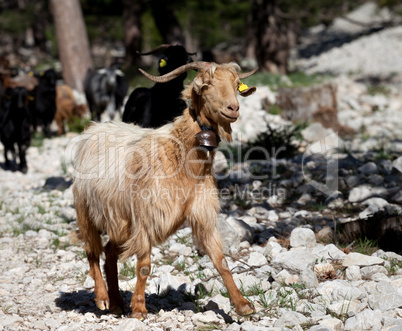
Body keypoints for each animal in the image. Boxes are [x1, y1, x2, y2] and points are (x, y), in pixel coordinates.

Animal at [71, 61, 258, 320]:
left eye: (236, 84)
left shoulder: (202, 213)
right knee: (91, 251)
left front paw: (242, 305)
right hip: (86, 210)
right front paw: (139, 309)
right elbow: (144, 266)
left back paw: (117, 303)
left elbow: (220, 260)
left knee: (109, 254)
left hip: (120, 221)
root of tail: (93, 129)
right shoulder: (145, 218)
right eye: (206, 85)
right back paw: (102, 298)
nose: (233, 108)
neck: (180, 157)